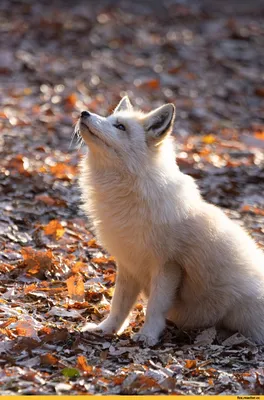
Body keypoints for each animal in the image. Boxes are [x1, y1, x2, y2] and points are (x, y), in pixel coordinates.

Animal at [76, 95, 264, 346]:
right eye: (108, 118)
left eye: (120, 127)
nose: (84, 113)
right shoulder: (128, 264)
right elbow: (119, 306)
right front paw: (106, 329)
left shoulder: (168, 265)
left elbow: (155, 308)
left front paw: (147, 335)